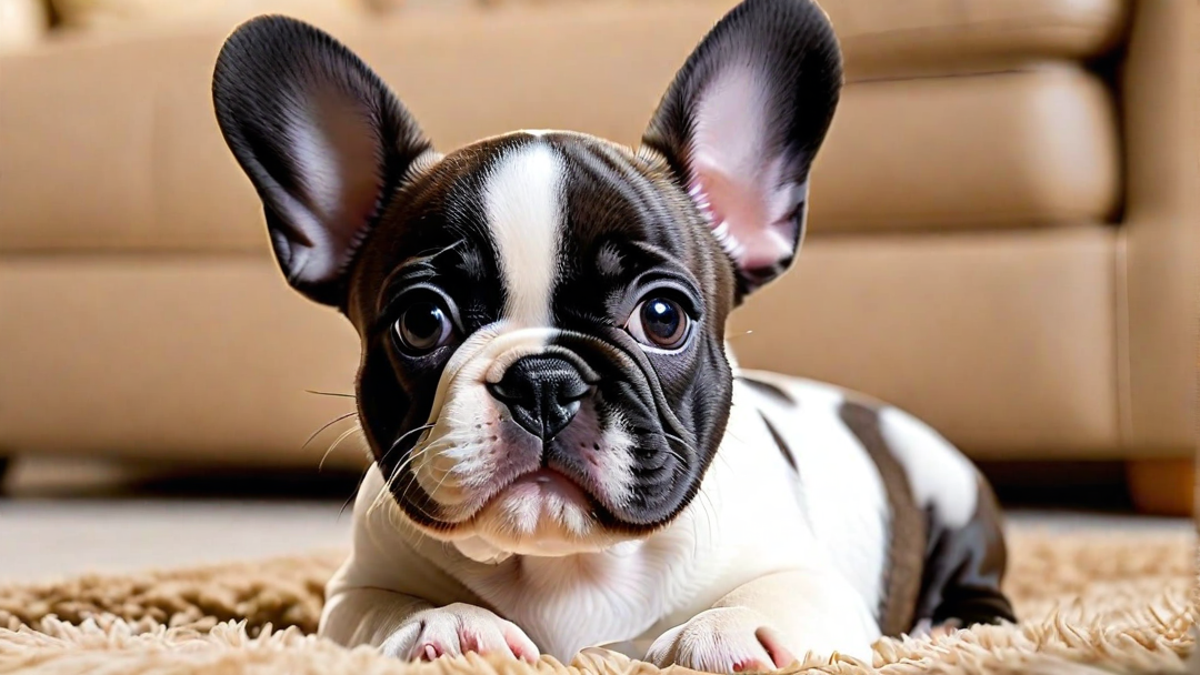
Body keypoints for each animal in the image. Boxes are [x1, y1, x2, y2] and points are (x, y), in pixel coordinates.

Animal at [213, 2, 1012, 667]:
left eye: (662, 317)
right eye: (421, 321)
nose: (543, 380)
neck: (567, 562)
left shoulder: (814, 581)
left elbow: (777, 592)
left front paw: (726, 631)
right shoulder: (353, 590)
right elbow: (384, 609)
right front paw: (448, 622)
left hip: (950, 496)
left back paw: (948, 627)